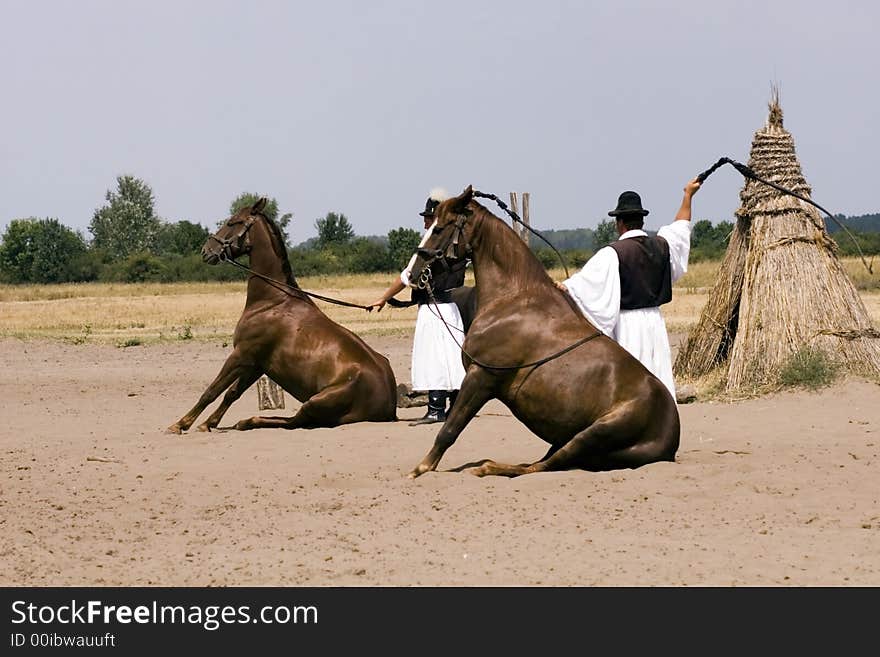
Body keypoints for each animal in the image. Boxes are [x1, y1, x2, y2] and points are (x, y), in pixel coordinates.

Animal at [164, 197, 396, 434]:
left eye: (232, 222)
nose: (206, 250)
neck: (273, 301)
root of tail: (389, 406)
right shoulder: (256, 363)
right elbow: (232, 393)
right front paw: (208, 423)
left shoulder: (241, 354)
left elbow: (211, 391)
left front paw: (181, 424)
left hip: (315, 401)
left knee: (295, 422)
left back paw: (249, 421)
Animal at [406, 184, 680, 476]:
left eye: (438, 228)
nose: (412, 273)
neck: (512, 301)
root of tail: (671, 440)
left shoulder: (480, 377)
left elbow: (450, 429)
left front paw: (421, 468)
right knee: (538, 463)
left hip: (593, 434)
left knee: (541, 467)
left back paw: (487, 467)